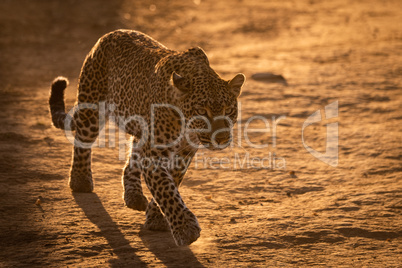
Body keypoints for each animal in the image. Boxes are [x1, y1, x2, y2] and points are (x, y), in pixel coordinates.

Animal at [50, 28, 245, 245]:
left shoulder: (183, 153)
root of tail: (110, 34)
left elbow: (171, 182)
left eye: (229, 110)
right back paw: (80, 180)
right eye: (202, 112)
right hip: (91, 106)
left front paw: (157, 218)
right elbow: (165, 188)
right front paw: (185, 228)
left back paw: (133, 196)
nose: (221, 138)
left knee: (131, 160)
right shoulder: (155, 153)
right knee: (82, 141)